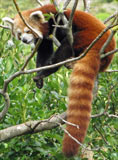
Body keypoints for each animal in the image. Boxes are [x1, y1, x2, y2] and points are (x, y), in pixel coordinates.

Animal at [2, 3, 115, 158]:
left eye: (28, 30)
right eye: (19, 34)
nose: (24, 40)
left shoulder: (60, 20)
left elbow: (62, 38)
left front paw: (44, 72)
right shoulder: (44, 39)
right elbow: (43, 51)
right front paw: (40, 76)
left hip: (90, 38)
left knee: (68, 43)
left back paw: (56, 64)